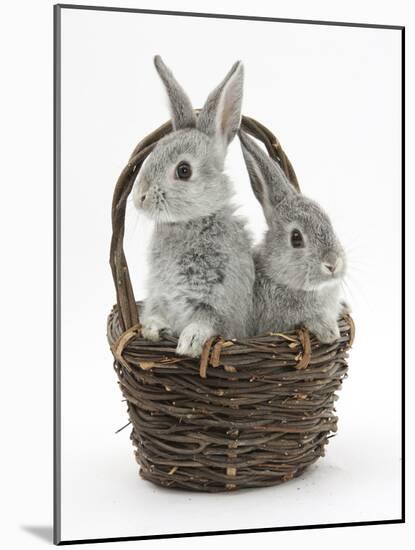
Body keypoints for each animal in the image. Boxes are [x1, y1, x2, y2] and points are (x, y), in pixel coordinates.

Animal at [134, 55, 256, 358]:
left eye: (184, 170)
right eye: (153, 153)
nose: (140, 196)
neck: (189, 223)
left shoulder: (220, 302)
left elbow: (207, 321)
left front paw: (188, 342)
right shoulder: (160, 295)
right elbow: (156, 312)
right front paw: (151, 328)